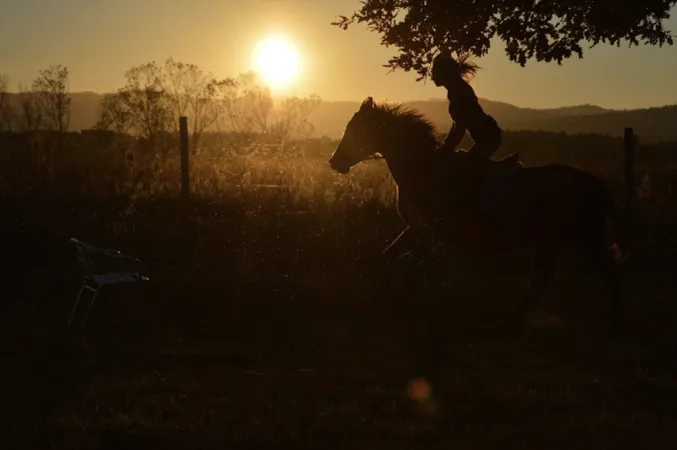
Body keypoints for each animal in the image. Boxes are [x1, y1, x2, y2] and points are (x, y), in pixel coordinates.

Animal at [328, 96, 627, 334]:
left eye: (357, 129)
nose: (334, 162)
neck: (423, 169)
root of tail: (601, 187)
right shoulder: (416, 228)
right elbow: (384, 255)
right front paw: (387, 292)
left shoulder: (430, 230)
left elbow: (415, 264)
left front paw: (401, 299)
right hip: (553, 241)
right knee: (543, 283)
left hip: (580, 239)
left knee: (604, 275)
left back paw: (613, 327)